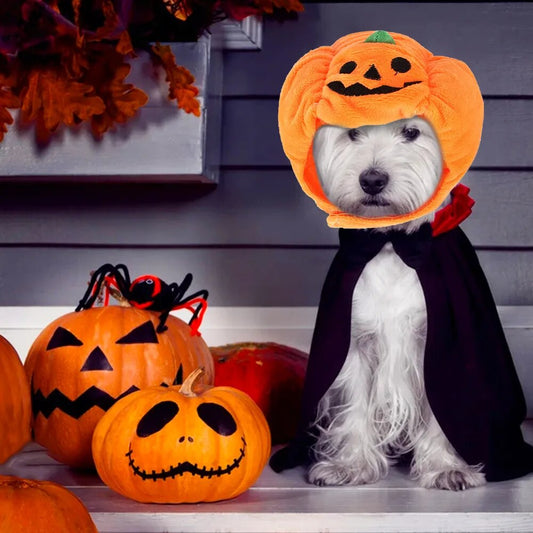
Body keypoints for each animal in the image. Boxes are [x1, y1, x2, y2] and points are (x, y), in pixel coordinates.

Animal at [308, 116, 486, 490]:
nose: (372, 180)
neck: (392, 243)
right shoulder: (356, 343)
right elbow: (355, 404)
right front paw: (351, 465)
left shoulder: (438, 347)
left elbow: (444, 410)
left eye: (411, 132)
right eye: (353, 132)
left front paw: (446, 467)